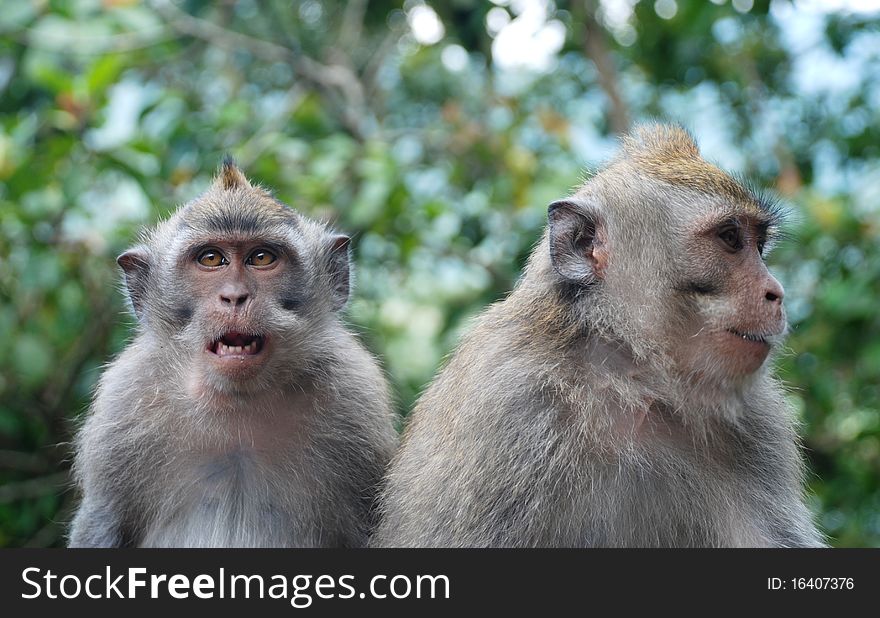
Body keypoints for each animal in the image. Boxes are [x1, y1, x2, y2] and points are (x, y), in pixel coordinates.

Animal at [69, 160, 398, 548]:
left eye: (262, 258)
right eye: (212, 258)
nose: (235, 296)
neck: (237, 402)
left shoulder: (355, 402)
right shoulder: (122, 406)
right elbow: (102, 524)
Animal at [374, 124, 828, 544]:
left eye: (759, 244)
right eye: (731, 238)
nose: (776, 292)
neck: (632, 378)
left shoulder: (758, 423)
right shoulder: (506, 410)